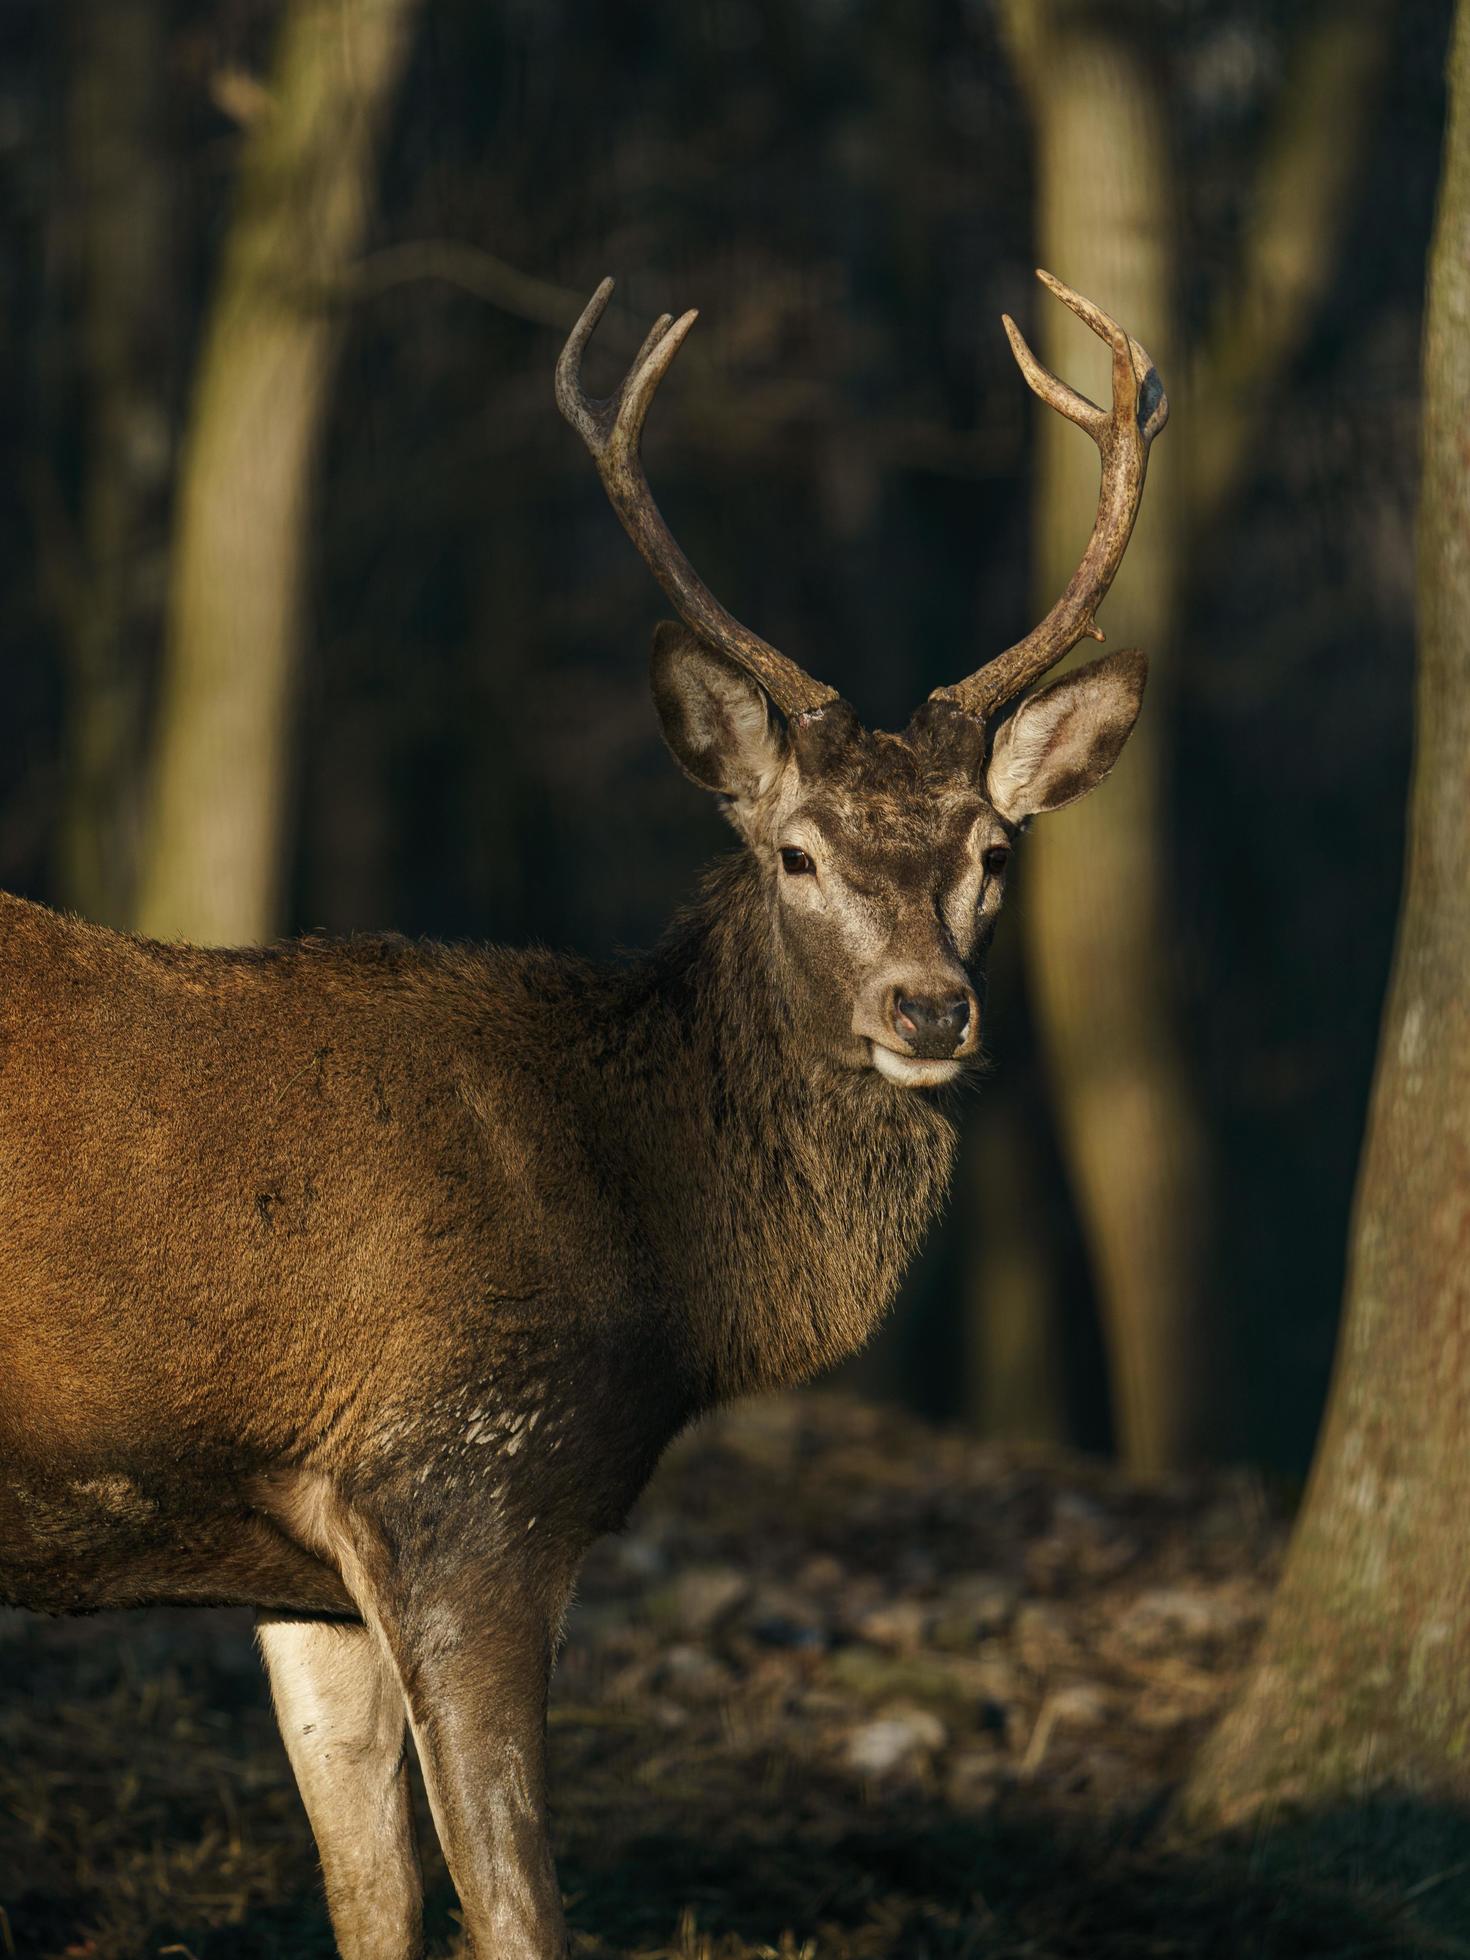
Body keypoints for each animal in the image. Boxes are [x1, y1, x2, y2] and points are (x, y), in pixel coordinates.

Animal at [0, 268, 1176, 1952]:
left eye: (992, 852)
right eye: (795, 852)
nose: (928, 1008)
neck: (658, 1251)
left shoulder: (301, 1571)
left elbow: (375, 1905)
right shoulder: (466, 1480)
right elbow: (515, 1913)